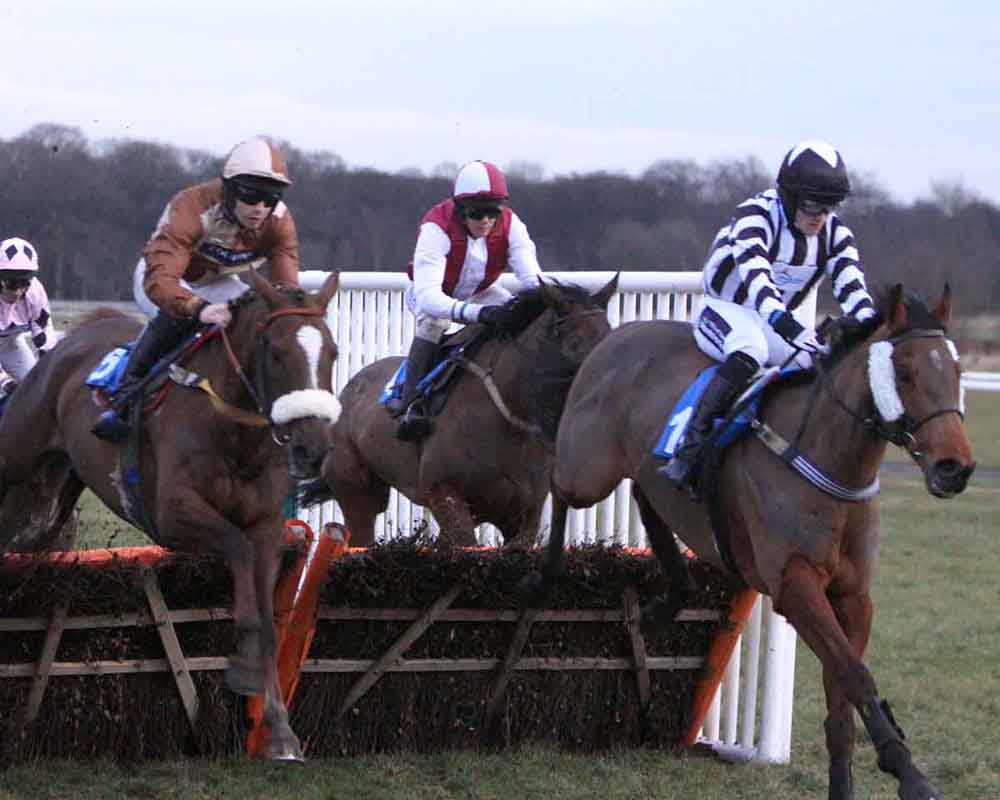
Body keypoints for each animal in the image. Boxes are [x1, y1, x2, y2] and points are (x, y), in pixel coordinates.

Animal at [0, 270, 342, 761]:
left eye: (332, 352)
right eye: (277, 353)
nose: (313, 449)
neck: (234, 434)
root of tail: (73, 338)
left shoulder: (265, 528)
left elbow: (269, 620)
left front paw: (280, 733)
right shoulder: (174, 515)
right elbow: (238, 555)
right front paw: (242, 669)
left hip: (48, 501)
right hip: (15, 457)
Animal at [304, 277, 618, 547]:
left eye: (609, 337)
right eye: (575, 345)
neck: (508, 423)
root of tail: (350, 388)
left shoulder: (526, 513)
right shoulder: (444, 494)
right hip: (357, 490)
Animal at [526, 284, 974, 800]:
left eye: (957, 371)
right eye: (904, 373)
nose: (954, 468)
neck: (827, 461)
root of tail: (614, 336)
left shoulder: (853, 596)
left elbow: (841, 692)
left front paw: (851, 780)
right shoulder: (794, 587)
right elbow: (856, 675)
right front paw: (909, 773)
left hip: (639, 469)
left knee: (645, 494)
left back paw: (674, 594)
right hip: (589, 470)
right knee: (559, 484)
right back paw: (546, 574)